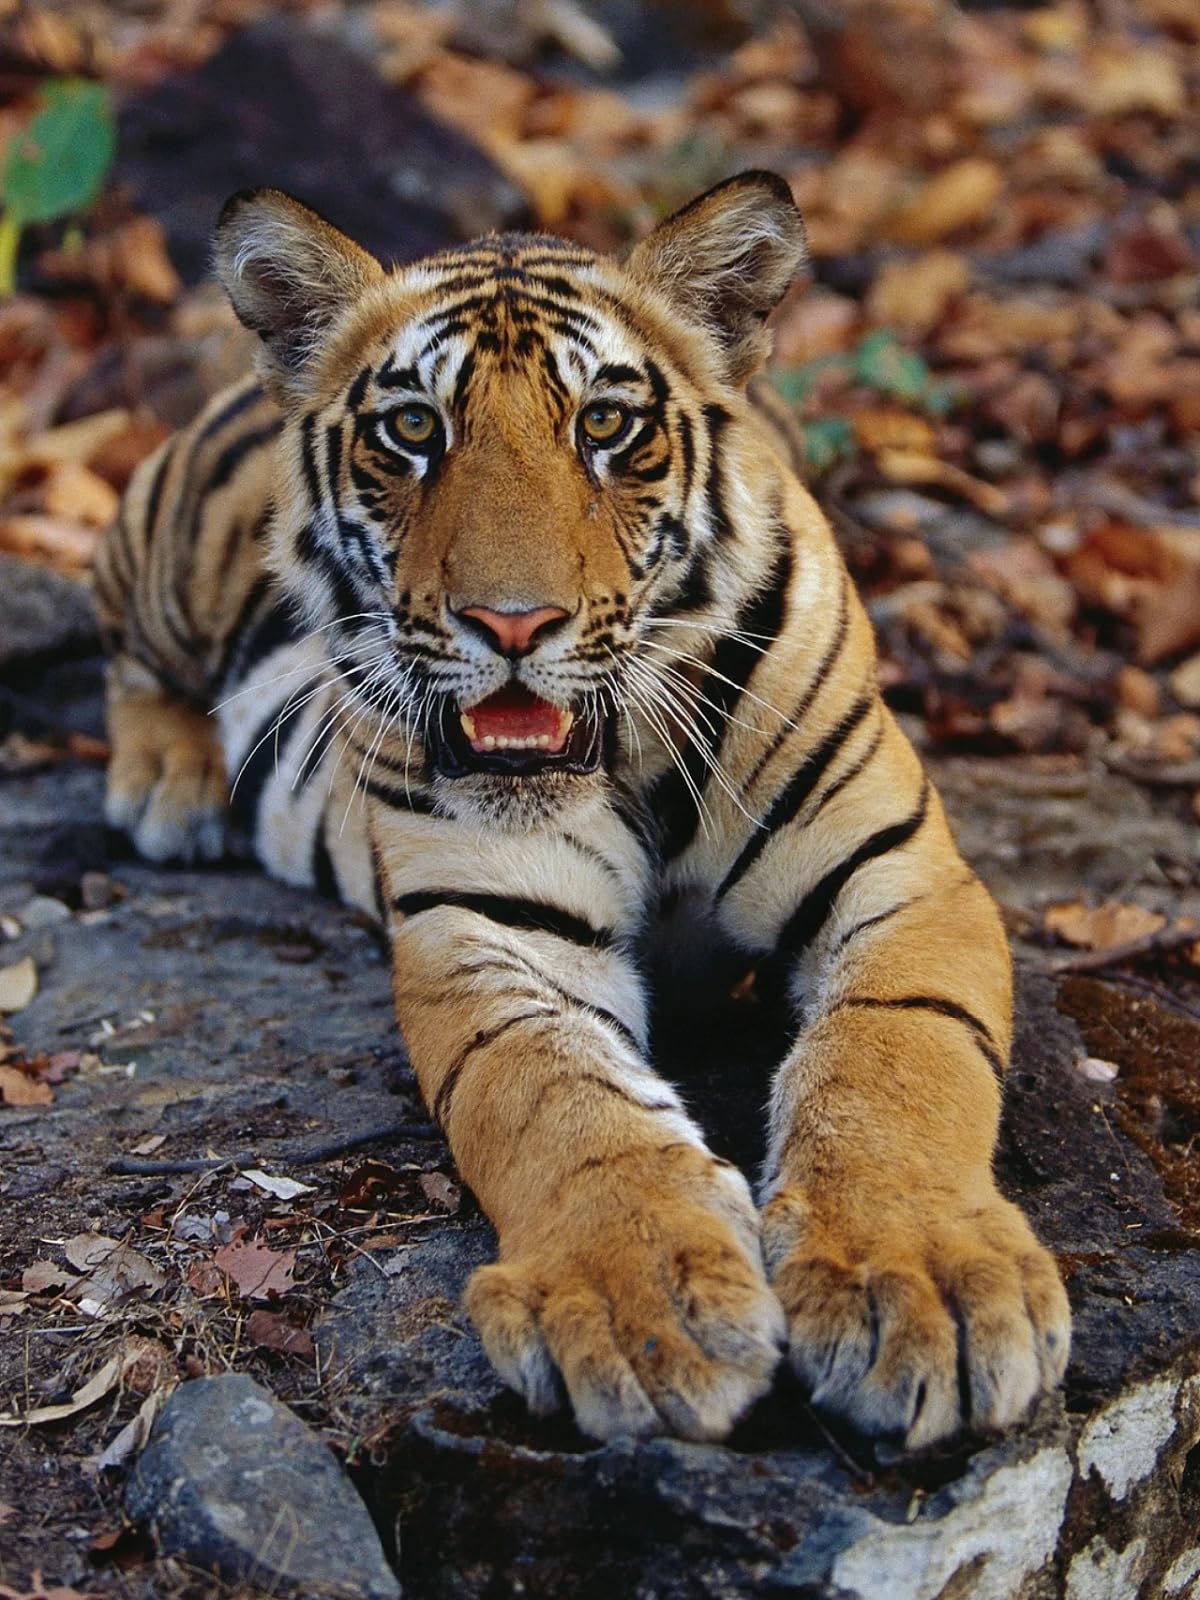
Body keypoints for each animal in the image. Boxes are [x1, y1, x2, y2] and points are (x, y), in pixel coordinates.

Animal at [94, 171, 1070, 1448]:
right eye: (414, 431)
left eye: (605, 426)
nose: (512, 624)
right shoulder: (492, 928)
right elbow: (557, 1099)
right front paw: (641, 1301)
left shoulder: (899, 873)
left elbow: (895, 1060)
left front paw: (921, 1283)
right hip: (167, 559)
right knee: (115, 634)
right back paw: (169, 781)